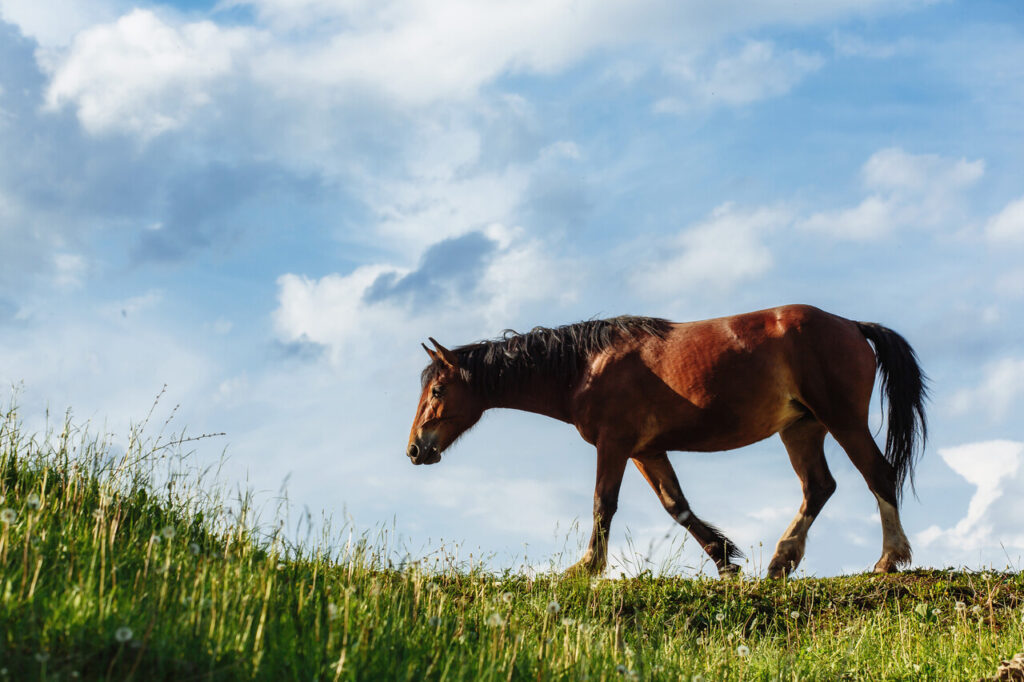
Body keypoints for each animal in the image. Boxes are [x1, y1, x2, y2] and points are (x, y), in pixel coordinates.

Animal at [405, 304, 927, 578]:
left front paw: (586, 567)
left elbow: (603, 504)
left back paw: (888, 559)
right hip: (801, 428)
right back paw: (781, 560)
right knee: (818, 488)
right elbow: (677, 507)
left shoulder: (615, 445)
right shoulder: (646, 451)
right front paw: (725, 560)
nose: (415, 449)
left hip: (842, 420)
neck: (585, 366)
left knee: (878, 474)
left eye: (438, 391)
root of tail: (852, 325)